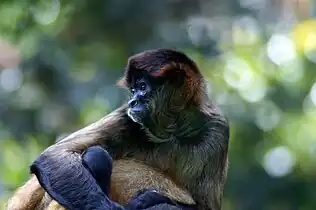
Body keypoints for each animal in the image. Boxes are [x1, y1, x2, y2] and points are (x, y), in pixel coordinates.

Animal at [6, 48, 230, 209]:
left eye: (142, 87)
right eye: (132, 90)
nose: (132, 101)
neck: (170, 134)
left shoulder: (217, 129)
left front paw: (147, 200)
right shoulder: (126, 117)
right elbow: (52, 157)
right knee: (96, 155)